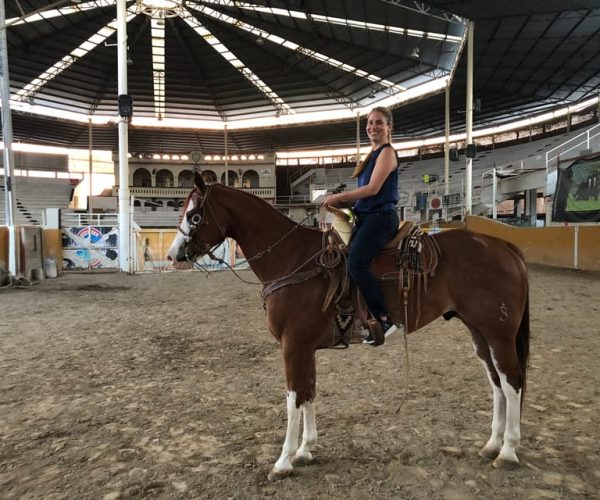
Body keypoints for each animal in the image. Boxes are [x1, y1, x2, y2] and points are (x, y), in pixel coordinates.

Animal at [168, 172, 528, 480]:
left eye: (194, 216)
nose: (174, 256)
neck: (292, 259)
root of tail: (503, 246)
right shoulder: (304, 347)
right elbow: (308, 393)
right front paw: (305, 450)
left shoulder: (293, 346)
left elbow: (293, 399)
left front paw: (283, 461)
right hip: (479, 333)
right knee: (496, 382)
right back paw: (492, 444)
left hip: (499, 334)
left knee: (512, 383)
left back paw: (508, 451)